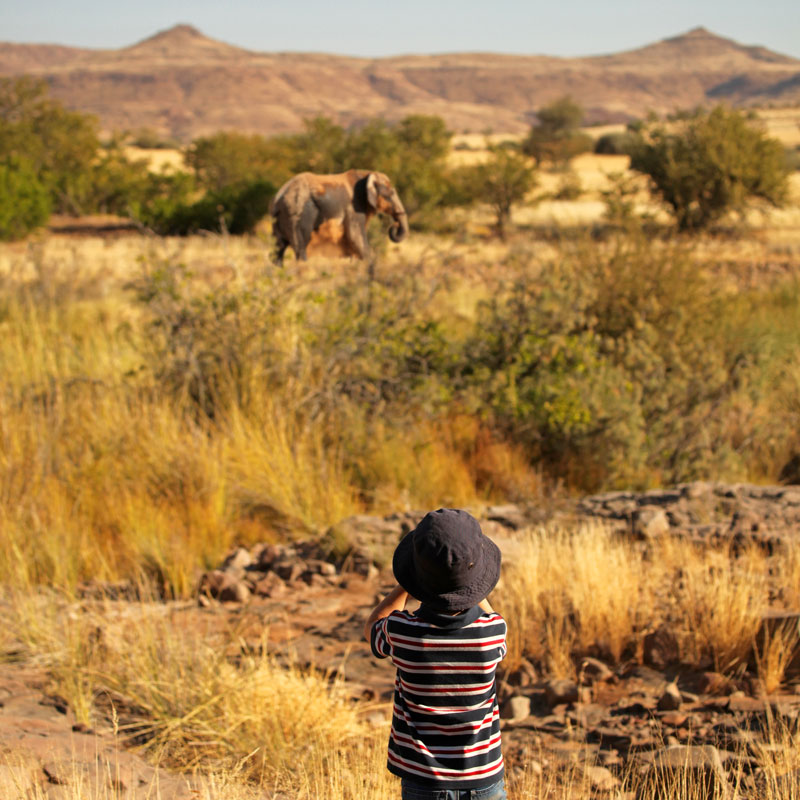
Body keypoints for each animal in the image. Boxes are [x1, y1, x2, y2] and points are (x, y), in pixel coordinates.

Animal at [270, 170, 406, 264]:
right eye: (390, 194)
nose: (394, 225)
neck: (366, 173)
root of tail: (279, 196)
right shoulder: (354, 206)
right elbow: (356, 236)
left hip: (282, 217)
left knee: (279, 249)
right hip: (297, 212)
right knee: (301, 247)